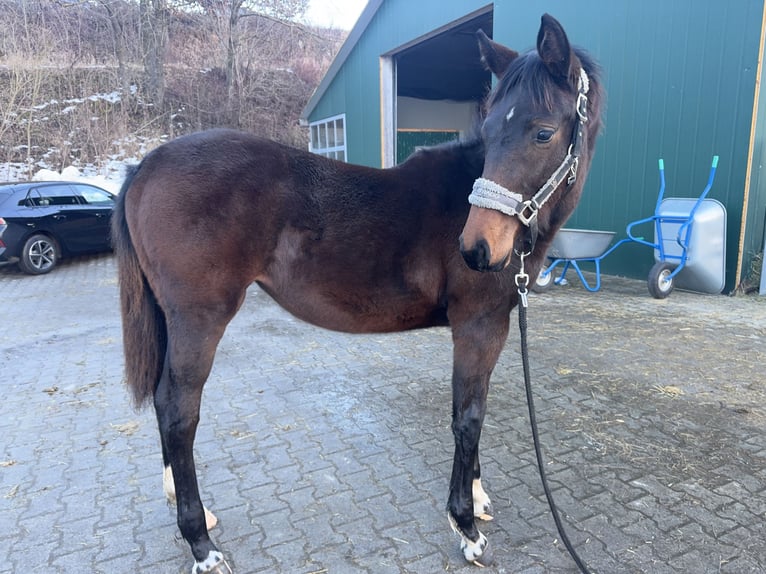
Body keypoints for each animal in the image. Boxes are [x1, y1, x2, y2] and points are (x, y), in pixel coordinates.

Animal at [112, 13, 603, 573]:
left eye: (542, 132)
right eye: (492, 129)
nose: (476, 248)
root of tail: (144, 166)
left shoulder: (492, 328)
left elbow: (476, 408)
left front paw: (476, 499)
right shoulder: (478, 327)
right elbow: (468, 417)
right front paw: (466, 526)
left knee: (162, 401)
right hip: (199, 319)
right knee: (178, 410)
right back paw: (201, 543)